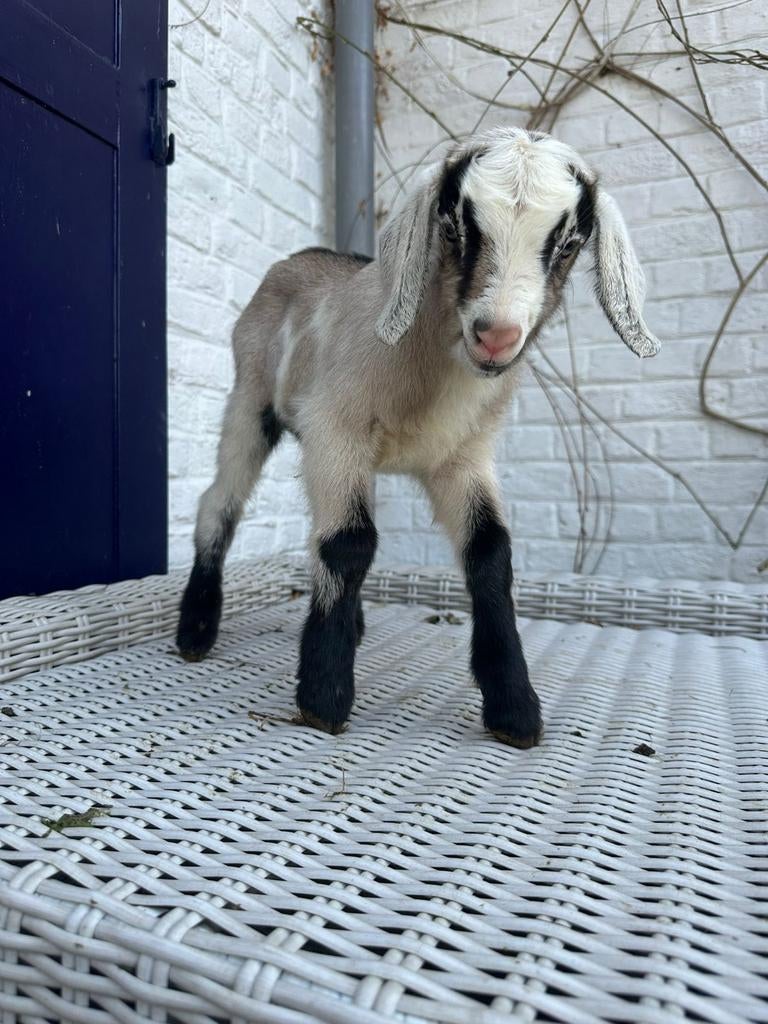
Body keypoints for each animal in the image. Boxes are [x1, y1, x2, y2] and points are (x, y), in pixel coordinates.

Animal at [176, 126, 660, 749]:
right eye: (454, 225)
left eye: (570, 242)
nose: (495, 337)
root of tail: (300, 257)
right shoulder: (337, 426)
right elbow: (350, 542)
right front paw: (323, 697)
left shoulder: (462, 457)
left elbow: (490, 550)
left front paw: (514, 708)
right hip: (250, 397)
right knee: (221, 502)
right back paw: (196, 629)